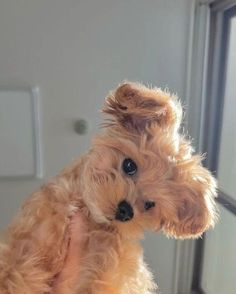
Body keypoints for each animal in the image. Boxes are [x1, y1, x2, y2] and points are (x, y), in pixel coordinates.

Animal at [0, 82, 218, 294]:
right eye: (129, 165)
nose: (126, 211)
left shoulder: (112, 270)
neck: (88, 215)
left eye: (150, 204)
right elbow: (13, 274)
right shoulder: (27, 246)